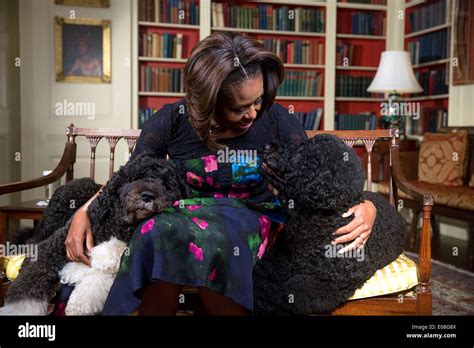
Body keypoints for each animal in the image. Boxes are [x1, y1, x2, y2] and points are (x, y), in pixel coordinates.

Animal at [2, 153, 191, 316]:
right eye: (136, 177)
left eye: (167, 185)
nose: (148, 195)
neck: (116, 226)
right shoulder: (48, 251)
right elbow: (28, 287)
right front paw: (19, 310)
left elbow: (99, 279)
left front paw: (79, 300)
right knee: (31, 240)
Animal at [254, 135, 406, 314]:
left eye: (302, 151)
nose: (267, 145)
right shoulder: (278, 260)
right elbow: (261, 281)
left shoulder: (330, 281)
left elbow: (291, 294)